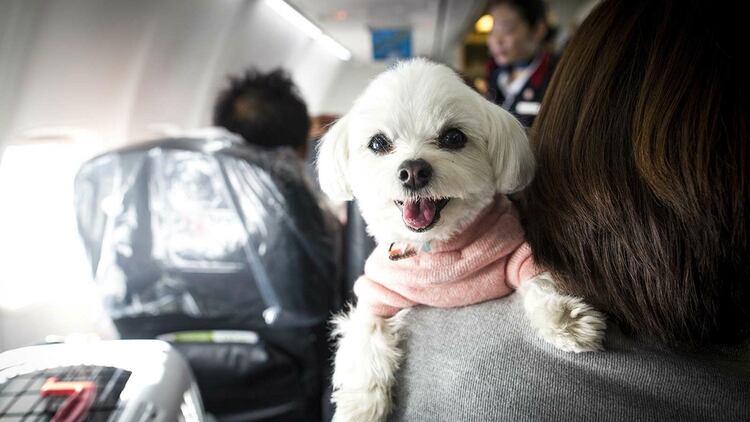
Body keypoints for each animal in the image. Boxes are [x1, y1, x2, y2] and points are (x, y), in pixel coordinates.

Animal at [316, 59, 604, 422]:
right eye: (378, 143)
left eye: (453, 137)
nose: (413, 170)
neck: (437, 249)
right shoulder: (377, 293)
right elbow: (365, 338)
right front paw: (361, 407)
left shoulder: (515, 251)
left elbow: (538, 279)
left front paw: (566, 321)